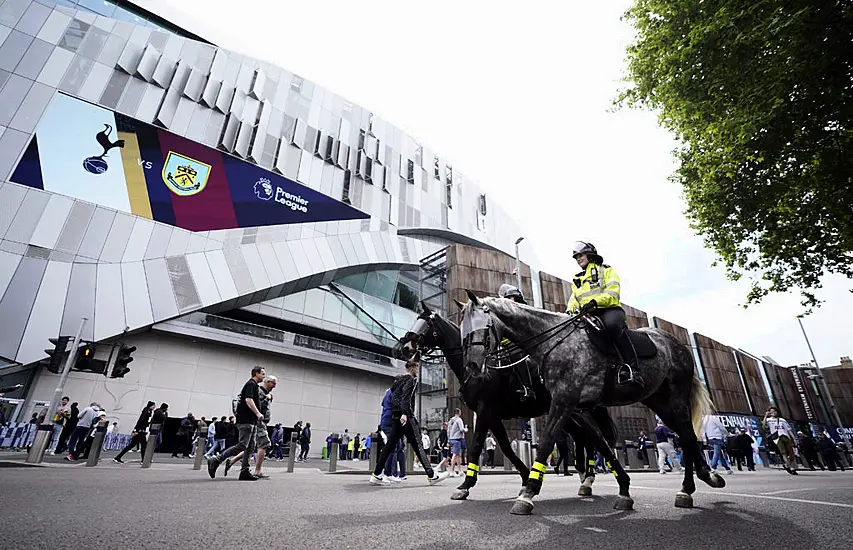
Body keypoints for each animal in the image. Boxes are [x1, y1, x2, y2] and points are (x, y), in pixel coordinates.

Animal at [456, 294, 724, 516]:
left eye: (482, 329)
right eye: (462, 333)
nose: (472, 367)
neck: (554, 343)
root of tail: (676, 343)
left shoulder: (563, 401)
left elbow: (547, 442)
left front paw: (528, 493)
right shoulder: (570, 406)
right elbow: (598, 442)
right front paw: (622, 489)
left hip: (676, 396)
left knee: (686, 435)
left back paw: (690, 486)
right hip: (657, 400)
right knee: (684, 435)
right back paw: (699, 481)